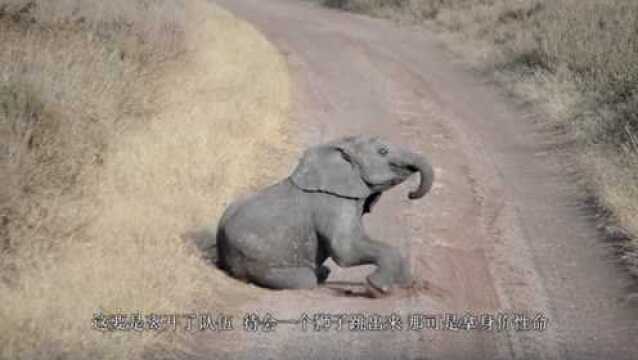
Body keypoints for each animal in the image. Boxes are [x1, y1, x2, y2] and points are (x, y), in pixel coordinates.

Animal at [216, 135, 436, 296]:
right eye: (383, 151)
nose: (411, 194)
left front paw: (406, 284)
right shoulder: (332, 203)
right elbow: (345, 251)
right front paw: (377, 289)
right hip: (254, 259)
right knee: (305, 279)